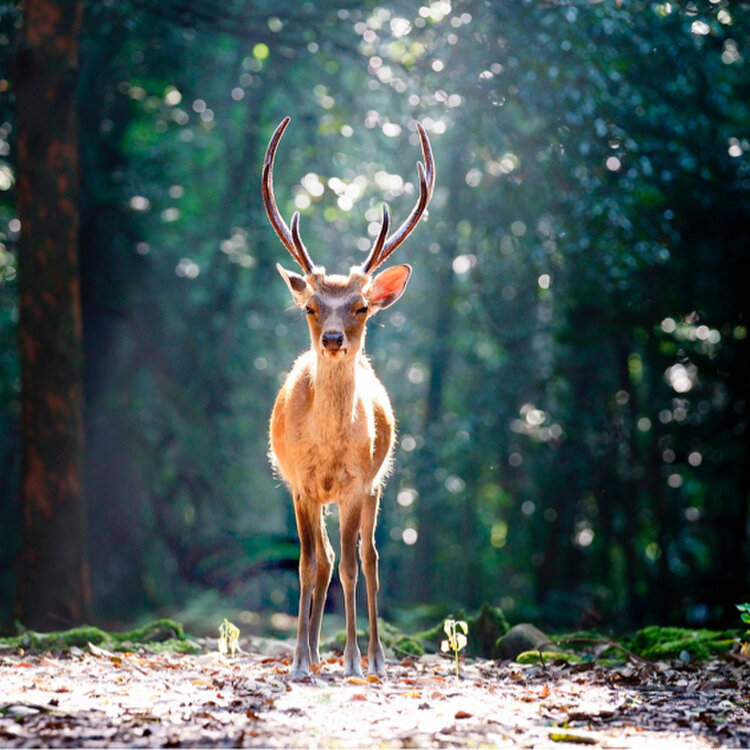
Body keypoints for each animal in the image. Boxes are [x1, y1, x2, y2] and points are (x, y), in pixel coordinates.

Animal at [262, 117, 434, 680]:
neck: (331, 448)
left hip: (379, 481)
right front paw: (299, 660)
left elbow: (355, 569)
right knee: (327, 560)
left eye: (360, 306)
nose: (333, 338)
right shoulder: (300, 483)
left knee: (370, 559)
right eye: (311, 307)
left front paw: (354, 661)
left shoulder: (358, 482)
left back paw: (377, 658)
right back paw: (317, 652)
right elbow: (306, 565)